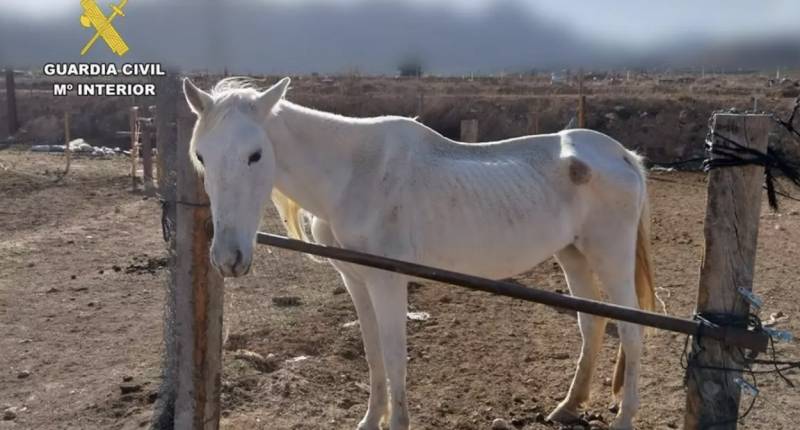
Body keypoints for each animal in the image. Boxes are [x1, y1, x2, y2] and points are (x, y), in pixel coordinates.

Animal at [184, 77, 652, 430]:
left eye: (255, 155)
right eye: (202, 156)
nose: (228, 258)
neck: (355, 175)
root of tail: (621, 155)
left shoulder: (388, 281)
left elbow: (394, 359)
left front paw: (395, 421)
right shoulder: (356, 281)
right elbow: (373, 354)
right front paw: (370, 420)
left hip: (610, 257)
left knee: (631, 329)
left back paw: (625, 418)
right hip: (573, 254)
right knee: (592, 322)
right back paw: (568, 407)